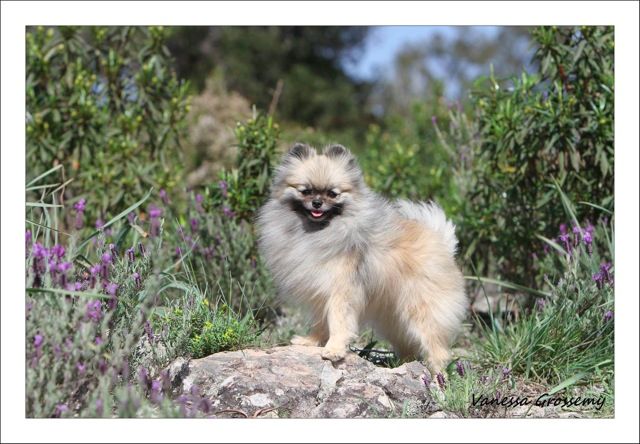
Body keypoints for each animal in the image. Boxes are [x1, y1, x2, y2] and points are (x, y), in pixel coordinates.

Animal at [258, 143, 468, 372]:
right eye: (306, 191)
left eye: (332, 194)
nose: (317, 202)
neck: (318, 231)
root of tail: (444, 244)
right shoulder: (320, 291)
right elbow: (321, 322)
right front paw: (311, 341)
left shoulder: (342, 289)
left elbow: (338, 321)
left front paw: (334, 349)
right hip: (394, 318)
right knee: (408, 345)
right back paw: (400, 366)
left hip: (422, 310)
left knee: (436, 348)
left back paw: (437, 376)